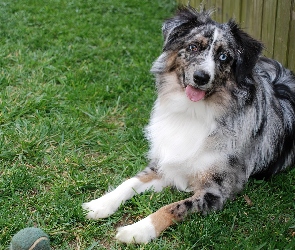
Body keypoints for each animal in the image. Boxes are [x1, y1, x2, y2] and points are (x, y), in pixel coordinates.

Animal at [82, 5, 295, 243]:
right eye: (193, 47)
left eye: (223, 56)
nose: (201, 77)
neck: (193, 112)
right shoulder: (166, 164)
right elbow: (130, 182)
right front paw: (100, 204)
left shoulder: (216, 191)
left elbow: (173, 207)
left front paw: (138, 230)